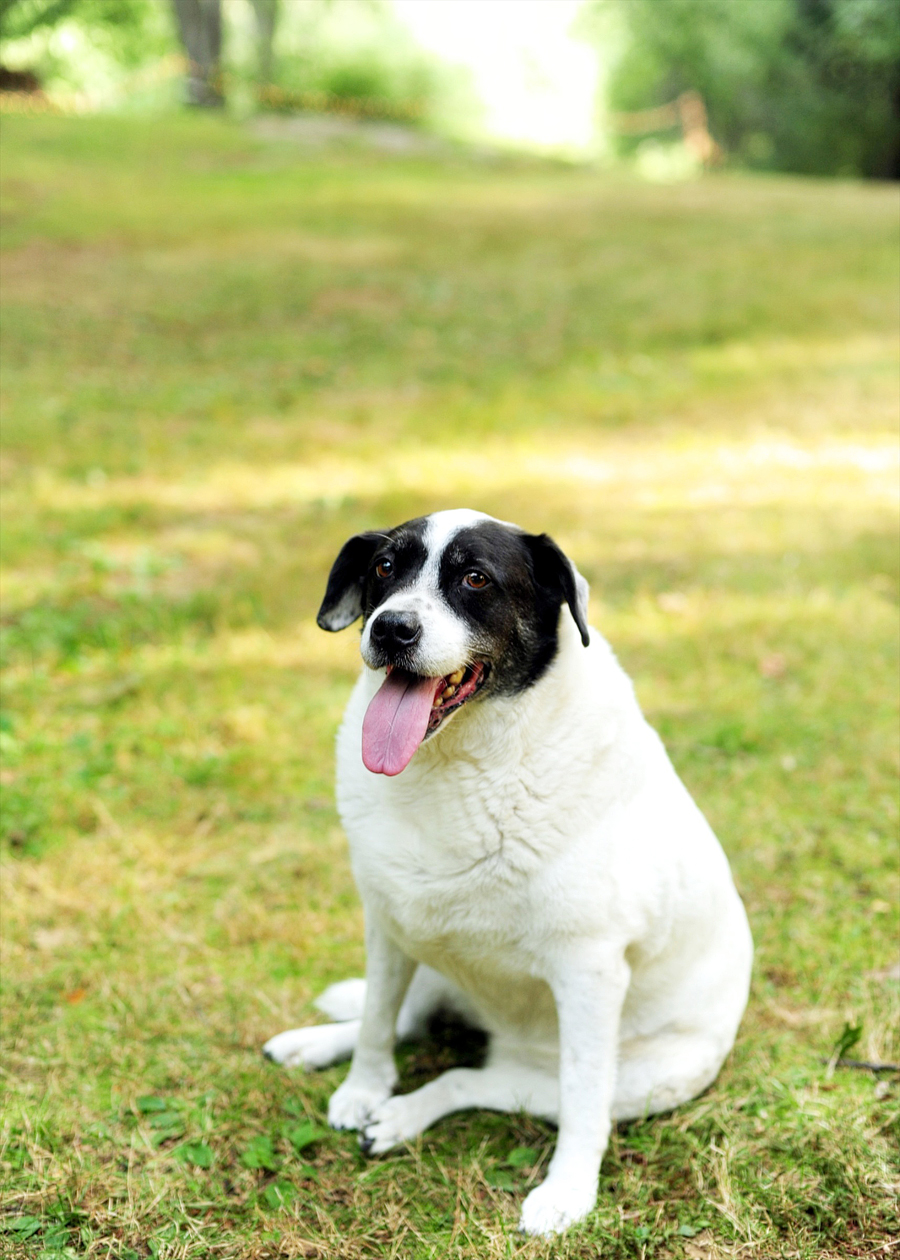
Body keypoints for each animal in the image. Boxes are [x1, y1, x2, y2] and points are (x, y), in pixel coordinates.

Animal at [264, 506, 751, 1234]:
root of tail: (497, 1033)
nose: (390, 628)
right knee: (408, 1022)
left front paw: (569, 1193)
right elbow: (378, 1019)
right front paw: (361, 1086)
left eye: (475, 579)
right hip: (430, 956)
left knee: (473, 1080)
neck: (460, 763)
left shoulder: (589, 973)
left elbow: (584, 1101)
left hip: (623, 1079)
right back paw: (320, 1050)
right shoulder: (387, 921)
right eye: (384, 567)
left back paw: (402, 1116)